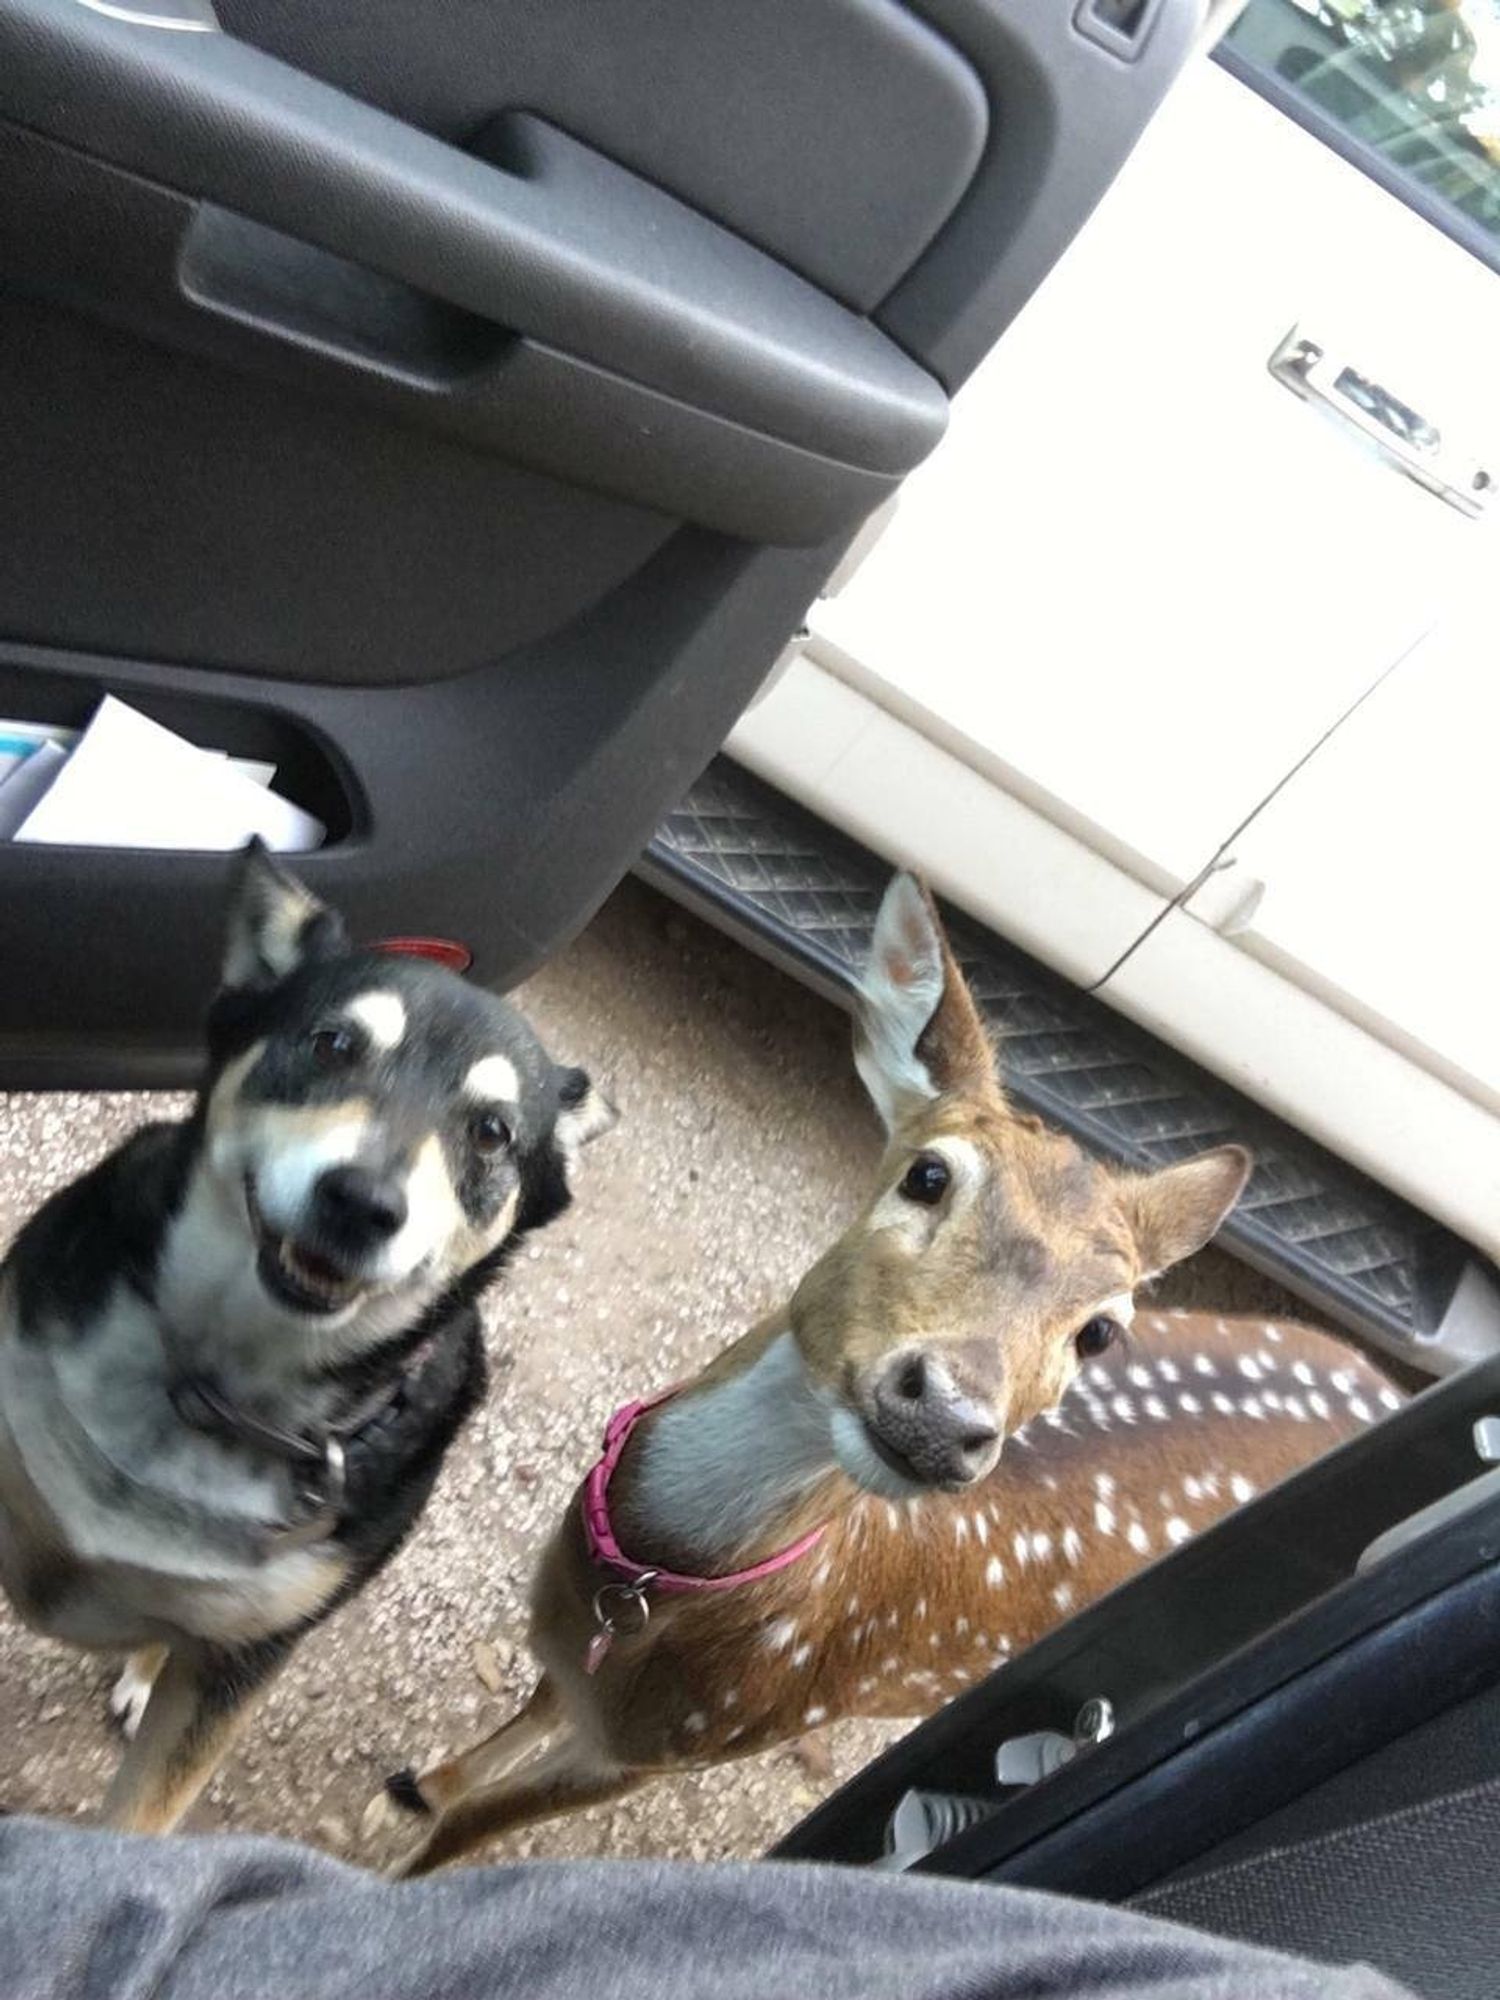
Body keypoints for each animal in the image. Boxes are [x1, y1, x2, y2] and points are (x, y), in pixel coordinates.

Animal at [0, 844, 616, 1832]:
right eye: (333, 1045)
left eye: (491, 1132)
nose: (362, 1204)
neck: (212, 1387)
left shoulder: (242, 1669)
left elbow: (143, 1815)